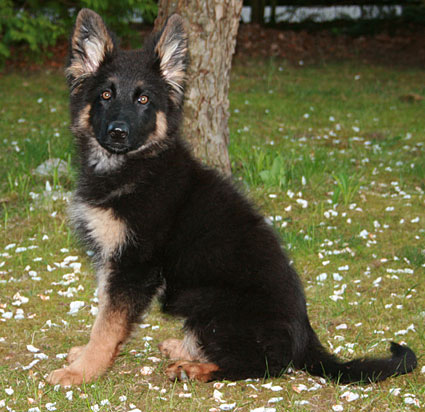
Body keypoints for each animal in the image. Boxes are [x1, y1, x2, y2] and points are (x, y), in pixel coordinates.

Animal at [47, 8, 417, 386]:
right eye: (105, 96)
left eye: (143, 100)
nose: (117, 133)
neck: (133, 167)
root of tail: (305, 336)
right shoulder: (112, 259)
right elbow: (104, 312)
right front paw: (87, 357)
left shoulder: (134, 266)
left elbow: (108, 324)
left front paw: (82, 370)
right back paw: (185, 348)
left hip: (205, 299)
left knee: (265, 363)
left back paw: (193, 366)